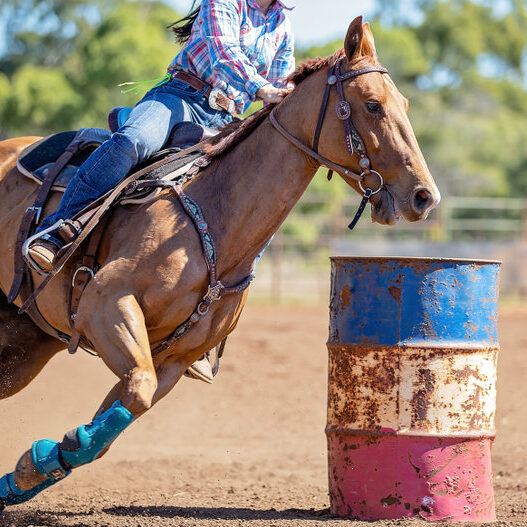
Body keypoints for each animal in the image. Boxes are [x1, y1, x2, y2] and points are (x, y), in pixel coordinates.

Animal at [0, 16, 442, 512]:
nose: (424, 196)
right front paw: (39, 461)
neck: (215, 215)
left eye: (404, 103)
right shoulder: (105, 304)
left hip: (23, 342)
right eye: (372, 104)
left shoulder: (172, 359)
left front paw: (30, 470)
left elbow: (123, 411)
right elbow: (134, 393)